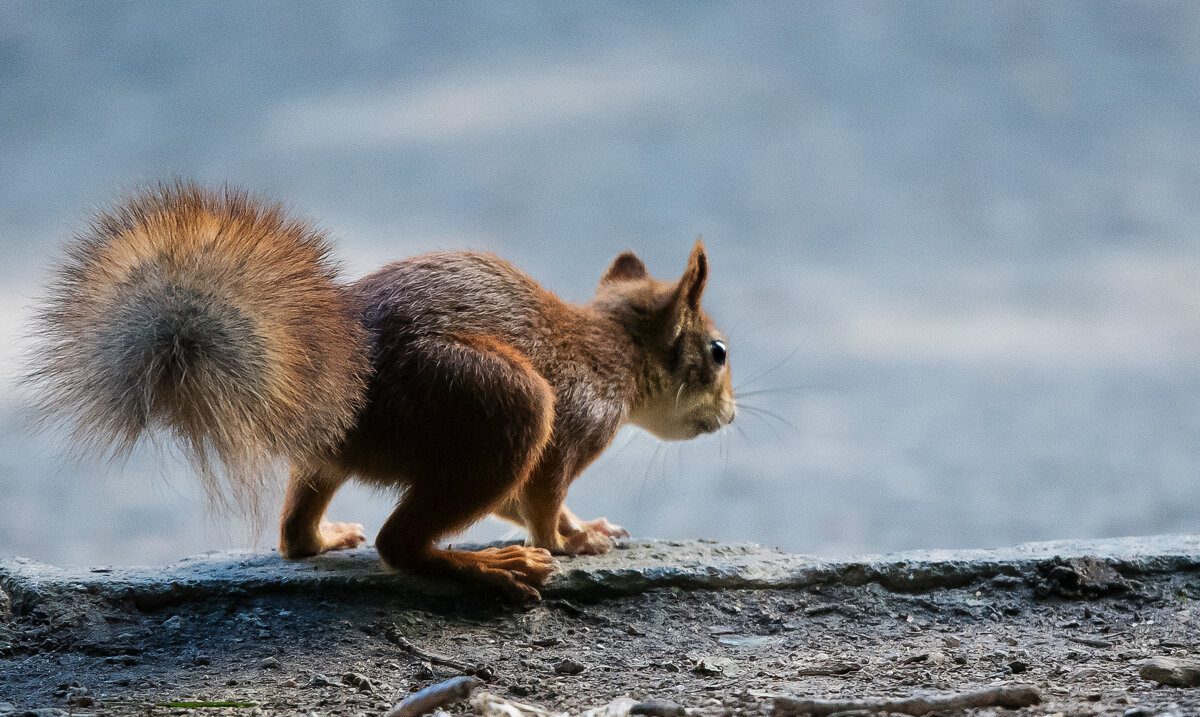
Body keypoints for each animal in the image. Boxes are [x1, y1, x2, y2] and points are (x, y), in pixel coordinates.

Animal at [28, 181, 734, 601]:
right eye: (718, 353)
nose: (729, 416)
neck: (613, 347)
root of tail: (340, 390)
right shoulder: (575, 423)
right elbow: (540, 504)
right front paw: (571, 540)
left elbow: (527, 503)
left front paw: (584, 526)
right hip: (502, 405)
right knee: (399, 545)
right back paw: (489, 569)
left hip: (340, 456)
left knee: (293, 535)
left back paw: (325, 538)